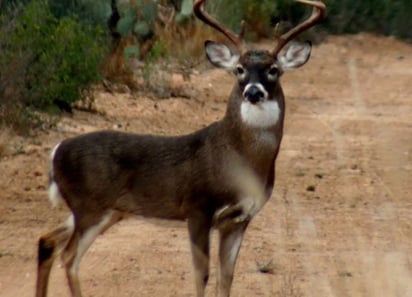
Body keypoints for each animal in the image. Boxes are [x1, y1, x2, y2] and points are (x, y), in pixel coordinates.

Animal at [35, 0, 326, 296]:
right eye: (239, 69)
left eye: (273, 69)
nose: (253, 92)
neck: (237, 159)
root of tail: (56, 151)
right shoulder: (197, 207)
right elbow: (201, 275)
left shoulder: (240, 219)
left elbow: (226, 277)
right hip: (90, 206)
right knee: (69, 256)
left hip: (101, 211)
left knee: (47, 241)